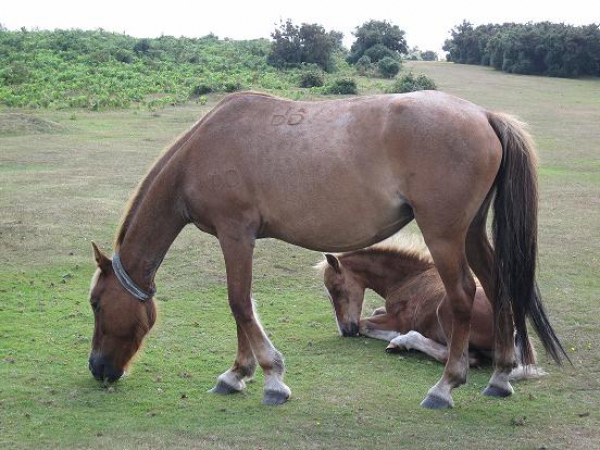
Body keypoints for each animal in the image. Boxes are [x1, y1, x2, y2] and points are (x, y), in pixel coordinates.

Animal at [86, 90, 564, 408]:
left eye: (96, 304)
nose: (98, 368)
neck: (203, 149)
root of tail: (483, 115)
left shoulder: (234, 233)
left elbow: (239, 303)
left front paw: (270, 377)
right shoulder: (237, 238)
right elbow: (243, 306)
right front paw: (237, 374)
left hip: (444, 235)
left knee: (464, 295)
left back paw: (445, 386)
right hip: (470, 232)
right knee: (497, 287)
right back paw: (501, 376)